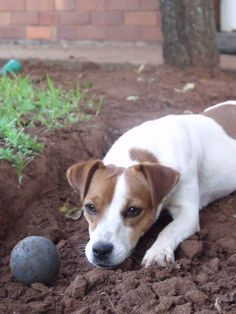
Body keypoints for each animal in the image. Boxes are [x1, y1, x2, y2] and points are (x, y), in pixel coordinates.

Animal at [66, 100, 236, 268]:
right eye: (90, 207)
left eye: (133, 210)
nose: (101, 250)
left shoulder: (188, 212)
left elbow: (169, 229)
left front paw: (158, 251)